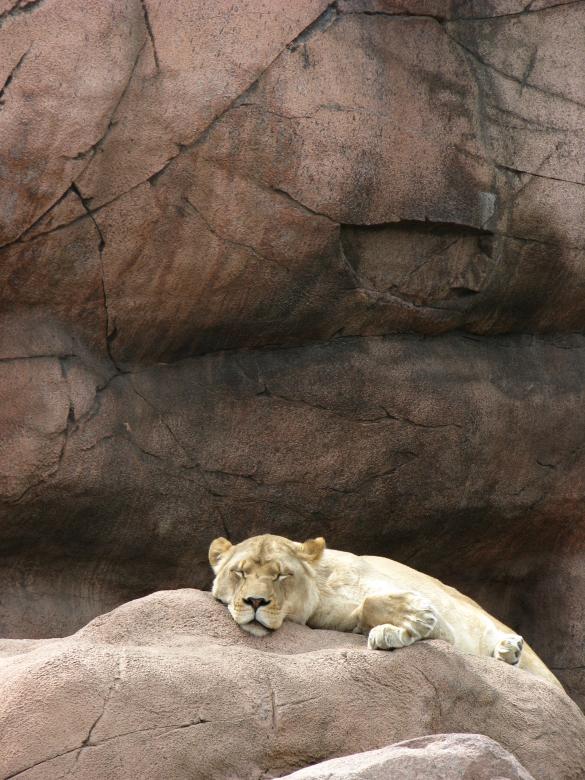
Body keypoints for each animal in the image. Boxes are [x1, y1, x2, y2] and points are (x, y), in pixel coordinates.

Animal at [209, 533, 562, 689]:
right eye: (239, 572)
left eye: (280, 575)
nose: (256, 602)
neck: (323, 585)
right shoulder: (336, 618)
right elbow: (366, 609)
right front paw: (394, 632)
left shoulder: (444, 619)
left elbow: (377, 601)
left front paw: (416, 616)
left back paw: (508, 649)